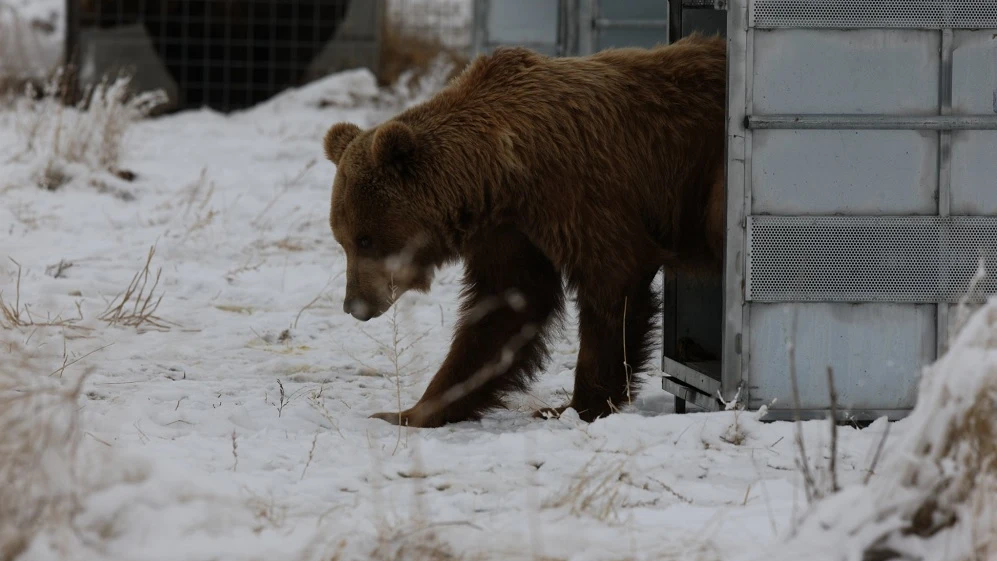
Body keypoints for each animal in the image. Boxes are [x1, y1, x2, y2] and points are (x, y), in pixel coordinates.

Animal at [324, 34, 724, 424]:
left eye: (365, 239)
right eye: (342, 241)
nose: (354, 304)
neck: (503, 175)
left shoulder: (582, 194)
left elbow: (612, 282)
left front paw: (573, 407)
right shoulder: (511, 232)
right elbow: (507, 308)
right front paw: (411, 410)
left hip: (711, 176)